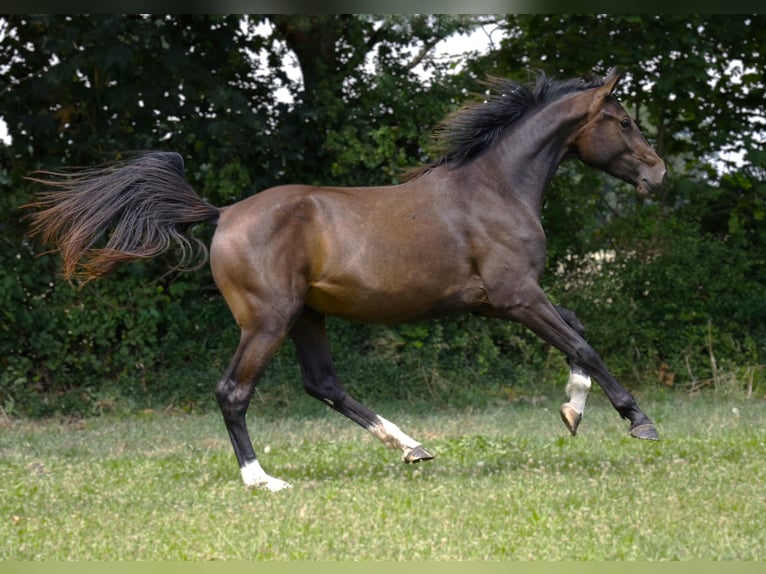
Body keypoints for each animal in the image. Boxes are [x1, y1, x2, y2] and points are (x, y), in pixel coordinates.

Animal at [28, 66, 664, 490]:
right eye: (624, 120)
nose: (658, 173)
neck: (496, 187)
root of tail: (223, 214)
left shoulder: (503, 300)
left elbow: (576, 333)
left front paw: (574, 409)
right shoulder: (516, 296)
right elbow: (583, 341)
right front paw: (638, 421)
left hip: (307, 316)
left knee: (324, 384)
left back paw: (411, 448)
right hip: (269, 321)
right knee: (234, 392)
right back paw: (263, 480)